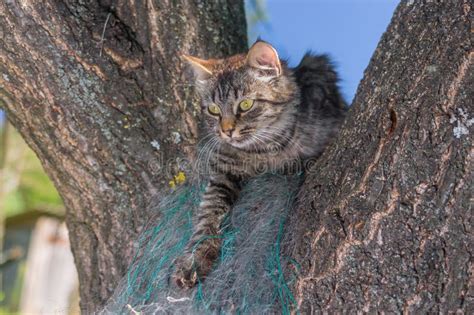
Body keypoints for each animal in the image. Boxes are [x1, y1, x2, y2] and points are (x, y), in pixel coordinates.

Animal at [172, 41, 346, 288]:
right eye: (214, 110)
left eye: (245, 105)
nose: (226, 131)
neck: (260, 151)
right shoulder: (223, 174)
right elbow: (207, 216)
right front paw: (194, 259)